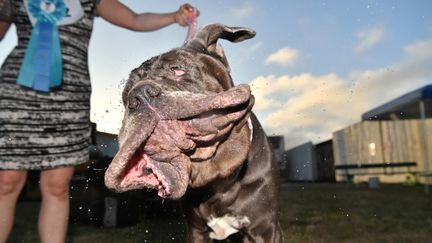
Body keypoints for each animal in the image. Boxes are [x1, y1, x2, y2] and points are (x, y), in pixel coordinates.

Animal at [104, 23, 284, 243]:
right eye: (125, 96)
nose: (138, 95)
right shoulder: (196, 231)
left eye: (178, 69)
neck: (215, 176)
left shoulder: (265, 229)